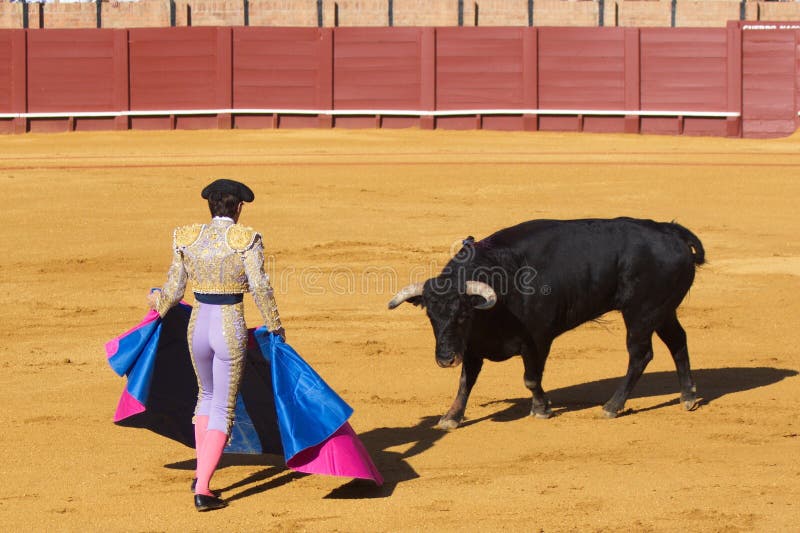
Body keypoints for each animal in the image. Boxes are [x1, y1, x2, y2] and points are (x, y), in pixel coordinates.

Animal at [390, 217, 708, 428]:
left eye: (464, 314)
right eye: (431, 316)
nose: (445, 358)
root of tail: (671, 231)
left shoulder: (537, 340)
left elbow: (531, 378)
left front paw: (542, 409)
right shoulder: (471, 346)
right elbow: (465, 382)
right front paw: (451, 417)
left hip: (641, 314)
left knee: (641, 355)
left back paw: (612, 406)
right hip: (663, 311)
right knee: (678, 341)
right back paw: (688, 396)